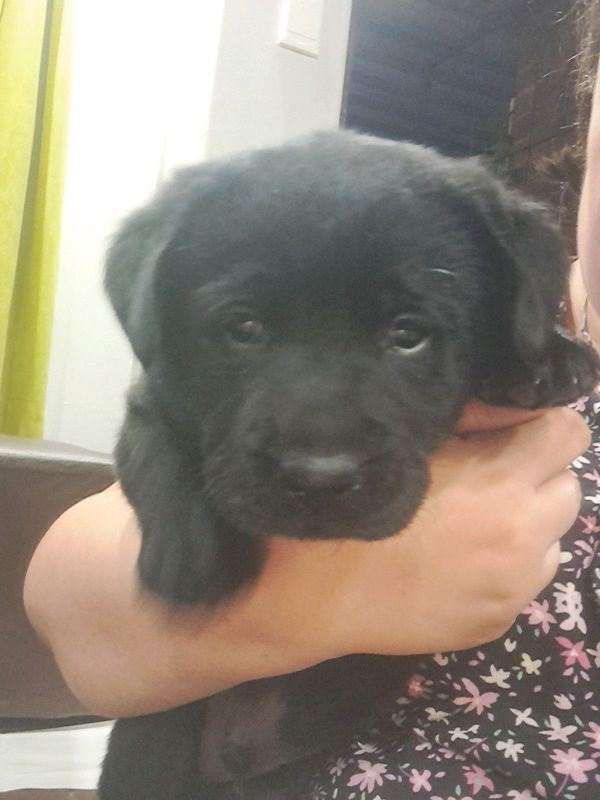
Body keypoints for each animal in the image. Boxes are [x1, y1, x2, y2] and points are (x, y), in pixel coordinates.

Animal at [101, 131, 596, 800]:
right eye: (242, 326)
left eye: (408, 334)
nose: (319, 477)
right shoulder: (152, 394)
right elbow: (153, 447)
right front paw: (191, 556)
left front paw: (545, 359)